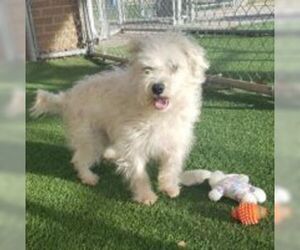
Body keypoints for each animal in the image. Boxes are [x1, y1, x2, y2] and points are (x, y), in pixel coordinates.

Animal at [31, 32, 209, 205]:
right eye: (147, 69)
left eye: (174, 67)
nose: (157, 87)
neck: (160, 113)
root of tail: (67, 96)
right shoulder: (134, 144)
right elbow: (139, 173)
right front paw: (145, 196)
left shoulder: (175, 142)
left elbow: (171, 167)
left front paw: (169, 188)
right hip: (91, 138)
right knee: (78, 159)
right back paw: (88, 177)